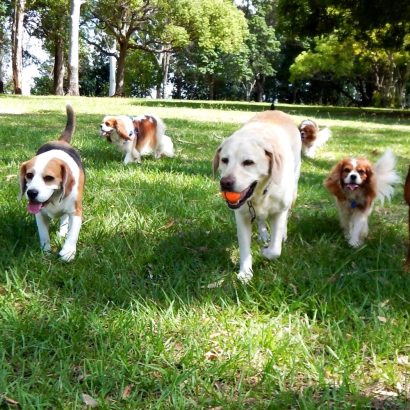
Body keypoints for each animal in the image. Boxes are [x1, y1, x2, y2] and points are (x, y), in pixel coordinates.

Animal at [19, 104, 85, 262]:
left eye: (49, 178)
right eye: (29, 175)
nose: (31, 193)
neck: (53, 199)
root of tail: (61, 141)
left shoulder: (76, 211)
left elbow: (73, 234)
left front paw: (68, 252)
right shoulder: (39, 214)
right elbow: (44, 234)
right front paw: (46, 251)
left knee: (64, 220)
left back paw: (62, 233)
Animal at [215, 109, 302, 284]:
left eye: (248, 162)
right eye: (224, 160)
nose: (225, 183)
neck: (260, 193)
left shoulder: (279, 211)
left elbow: (275, 250)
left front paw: (266, 252)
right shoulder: (242, 216)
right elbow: (244, 248)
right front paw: (245, 273)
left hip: (293, 188)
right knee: (261, 219)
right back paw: (263, 234)